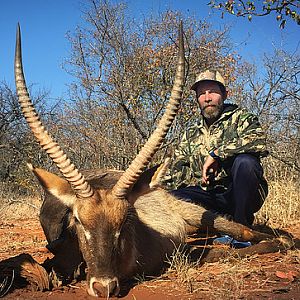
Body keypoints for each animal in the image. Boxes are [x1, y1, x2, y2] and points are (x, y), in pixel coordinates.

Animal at [14, 23, 288, 298]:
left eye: (125, 220)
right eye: (77, 221)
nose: (104, 287)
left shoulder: (178, 251)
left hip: (195, 211)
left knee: (242, 229)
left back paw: (282, 239)